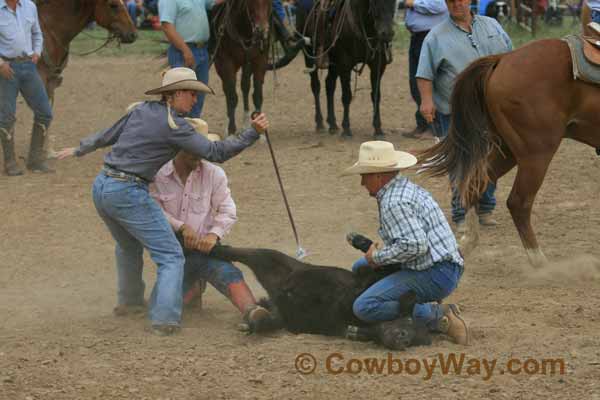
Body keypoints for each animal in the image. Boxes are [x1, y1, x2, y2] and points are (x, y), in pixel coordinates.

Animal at [34, 0, 137, 155]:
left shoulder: (52, 80)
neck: (50, 31)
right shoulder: (40, 78)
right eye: (113, 5)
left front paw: (47, 152)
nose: (133, 34)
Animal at [209, 0, 270, 135]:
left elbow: (257, 94)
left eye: (270, 2)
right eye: (252, 2)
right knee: (227, 89)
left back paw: (246, 122)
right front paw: (231, 129)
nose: (261, 31)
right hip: (220, 64)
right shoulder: (226, 62)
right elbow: (232, 96)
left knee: (245, 86)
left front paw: (261, 132)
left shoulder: (260, 60)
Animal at [270, 0, 396, 138]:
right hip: (309, 55)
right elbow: (346, 96)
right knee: (316, 86)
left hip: (333, 63)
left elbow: (376, 95)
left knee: (329, 84)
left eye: (394, 2)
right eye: (374, 2)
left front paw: (378, 129)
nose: (387, 33)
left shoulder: (378, 64)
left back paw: (332, 124)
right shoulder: (345, 64)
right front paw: (346, 129)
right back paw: (320, 123)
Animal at [414, 33, 600, 268]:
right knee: (518, 203)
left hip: (507, 149)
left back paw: (465, 244)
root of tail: (502, 59)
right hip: (535, 153)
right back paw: (540, 263)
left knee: (475, 184)